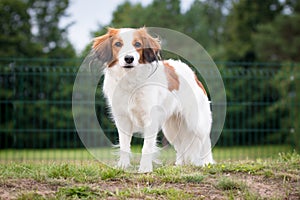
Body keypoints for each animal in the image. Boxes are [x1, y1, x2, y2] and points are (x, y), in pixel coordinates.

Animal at [91, 27, 213, 173]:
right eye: (118, 44)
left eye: (138, 44)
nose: (129, 58)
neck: (131, 79)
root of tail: (193, 74)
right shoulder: (122, 119)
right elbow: (124, 145)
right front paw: (123, 166)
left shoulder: (151, 118)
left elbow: (147, 147)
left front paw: (145, 169)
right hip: (171, 128)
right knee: (180, 146)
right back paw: (179, 165)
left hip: (196, 122)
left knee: (205, 142)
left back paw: (207, 163)